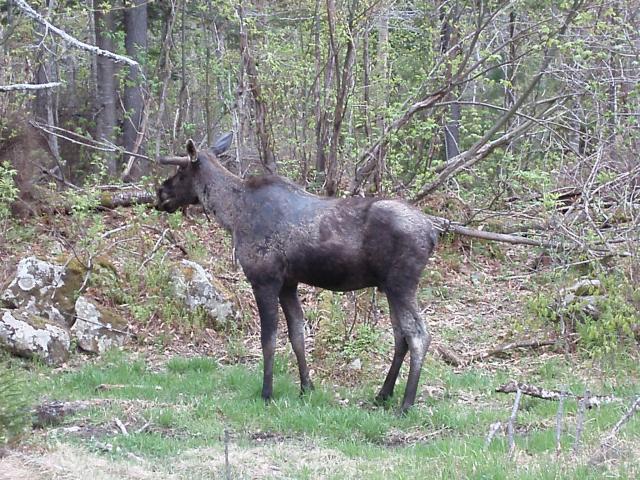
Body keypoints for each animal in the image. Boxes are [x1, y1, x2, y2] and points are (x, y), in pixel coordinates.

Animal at [158, 132, 440, 412]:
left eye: (181, 170)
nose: (160, 192)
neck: (233, 214)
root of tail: (433, 233)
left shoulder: (265, 280)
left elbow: (269, 339)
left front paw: (267, 393)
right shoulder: (288, 284)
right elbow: (297, 335)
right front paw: (306, 387)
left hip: (402, 284)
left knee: (419, 335)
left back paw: (406, 403)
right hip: (389, 288)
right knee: (400, 336)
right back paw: (383, 394)